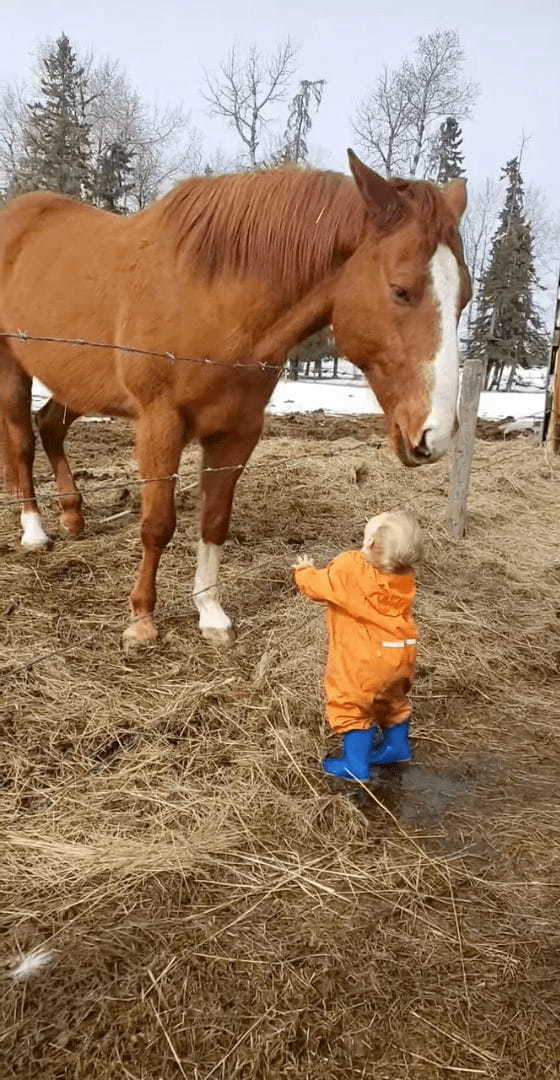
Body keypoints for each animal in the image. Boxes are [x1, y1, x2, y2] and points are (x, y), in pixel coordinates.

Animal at [1, 149, 468, 643]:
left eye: (466, 298)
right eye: (401, 290)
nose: (434, 435)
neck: (212, 301)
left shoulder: (238, 432)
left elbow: (214, 521)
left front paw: (210, 613)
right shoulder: (159, 424)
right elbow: (157, 524)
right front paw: (142, 619)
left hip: (78, 384)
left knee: (50, 425)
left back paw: (73, 516)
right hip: (13, 368)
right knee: (22, 441)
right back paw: (34, 532)